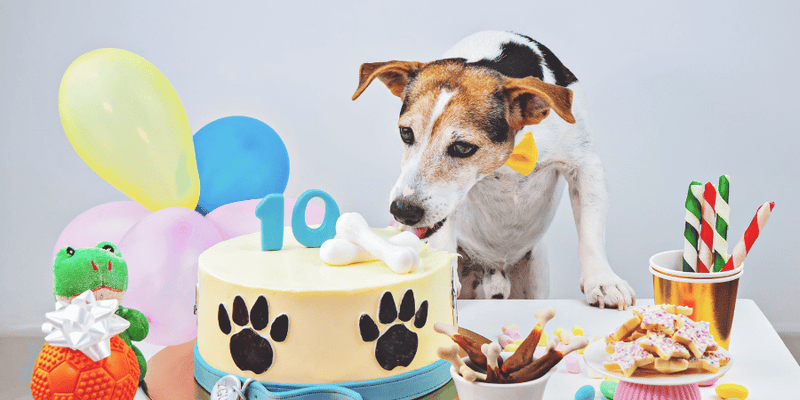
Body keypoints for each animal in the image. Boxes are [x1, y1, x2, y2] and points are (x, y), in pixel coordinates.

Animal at [354, 30, 636, 310]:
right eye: (406, 133)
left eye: (463, 147)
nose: (402, 211)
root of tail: (495, 273)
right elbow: (443, 234)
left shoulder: (585, 166)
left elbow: (590, 233)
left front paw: (603, 281)